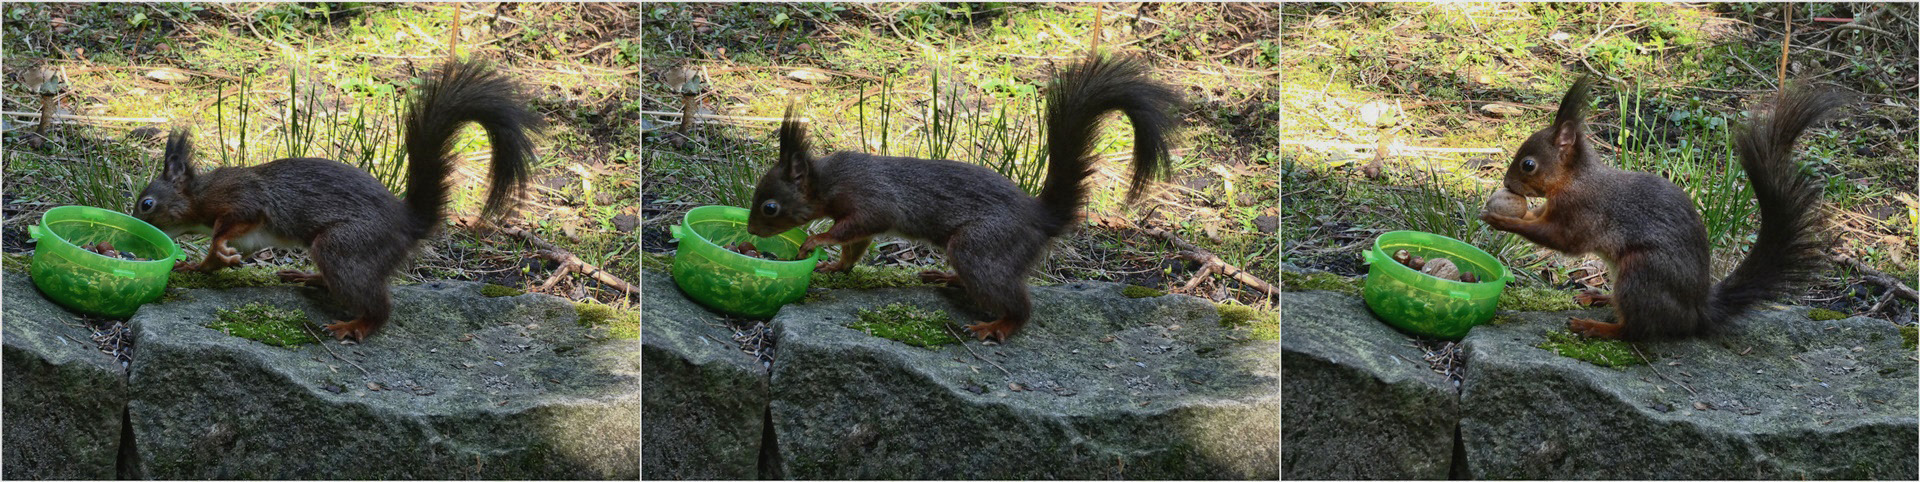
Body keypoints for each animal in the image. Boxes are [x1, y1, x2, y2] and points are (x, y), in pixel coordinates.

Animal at [134, 58, 541, 339]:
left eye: (147, 204)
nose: (136, 222)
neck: (200, 197)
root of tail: (408, 226)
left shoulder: (242, 200)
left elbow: (227, 229)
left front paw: (218, 248)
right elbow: (214, 260)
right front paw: (195, 266)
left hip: (344, 245)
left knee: (379, 306)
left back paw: (355, 325)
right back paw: (307, 277)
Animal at [741, 54, 1175, 339]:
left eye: (770, 207)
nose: (750, 232)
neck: (828, 181)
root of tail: (1041, 219)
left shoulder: (871, 200)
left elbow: (857, 227)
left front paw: (816, 241)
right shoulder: (859, 218)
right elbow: (855, 247)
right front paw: (835, 266)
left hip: (981, 246)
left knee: (1018, 303)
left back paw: (997, 325)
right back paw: (946, 277)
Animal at [1474, 77, 1835, 339]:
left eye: (1529, 165)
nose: (1507, 184)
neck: (1575, 180)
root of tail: (1696, 312)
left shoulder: (1582, 214)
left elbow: (1560, 240)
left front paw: (1499, 219)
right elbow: (1538, 218)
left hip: (1641, 272)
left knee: (1636, 331)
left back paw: (1596, 327)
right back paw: (1599, 297)